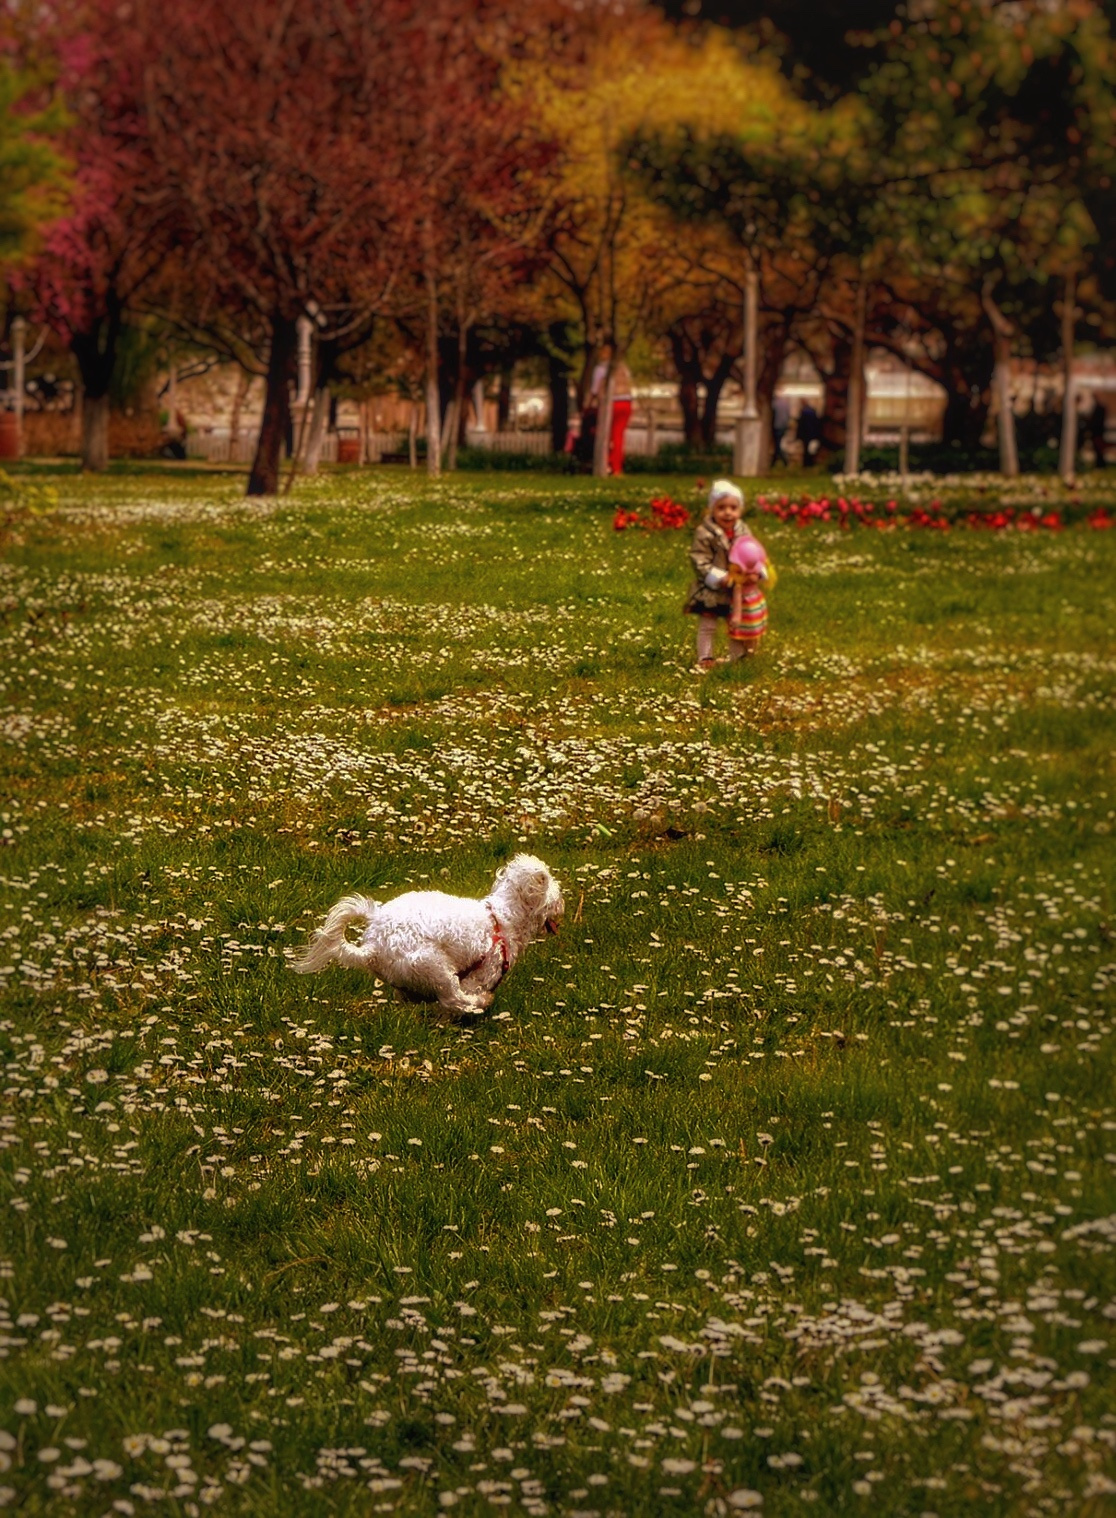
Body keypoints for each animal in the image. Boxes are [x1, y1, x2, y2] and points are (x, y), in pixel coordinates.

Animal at [293, 862, 561, 1014]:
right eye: (557, 897)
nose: (562, 908)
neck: (503, 919)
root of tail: (373, 944)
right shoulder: (482, 973)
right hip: (433, 966)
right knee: (454, 998)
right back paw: (478, 1003)